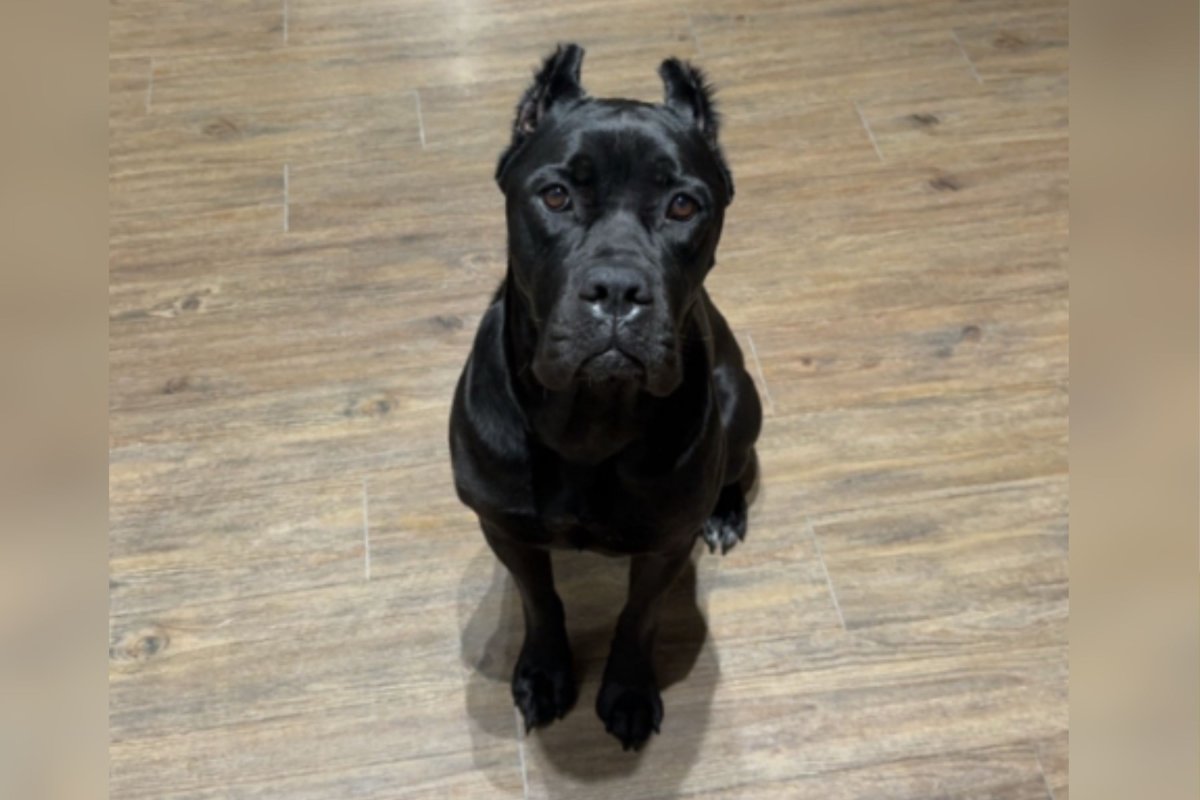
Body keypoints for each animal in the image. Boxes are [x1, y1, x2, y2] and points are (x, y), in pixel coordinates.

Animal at [451, 43, 758, 753]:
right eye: (556, 195)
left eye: (683, 206)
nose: (617, 288)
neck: (590, 418)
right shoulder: (505, 529)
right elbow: (540, 601)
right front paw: (543, 673)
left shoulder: (665, 546)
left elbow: (638, 616)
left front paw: (627, 692)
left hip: (742, 403)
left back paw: (726, 513)